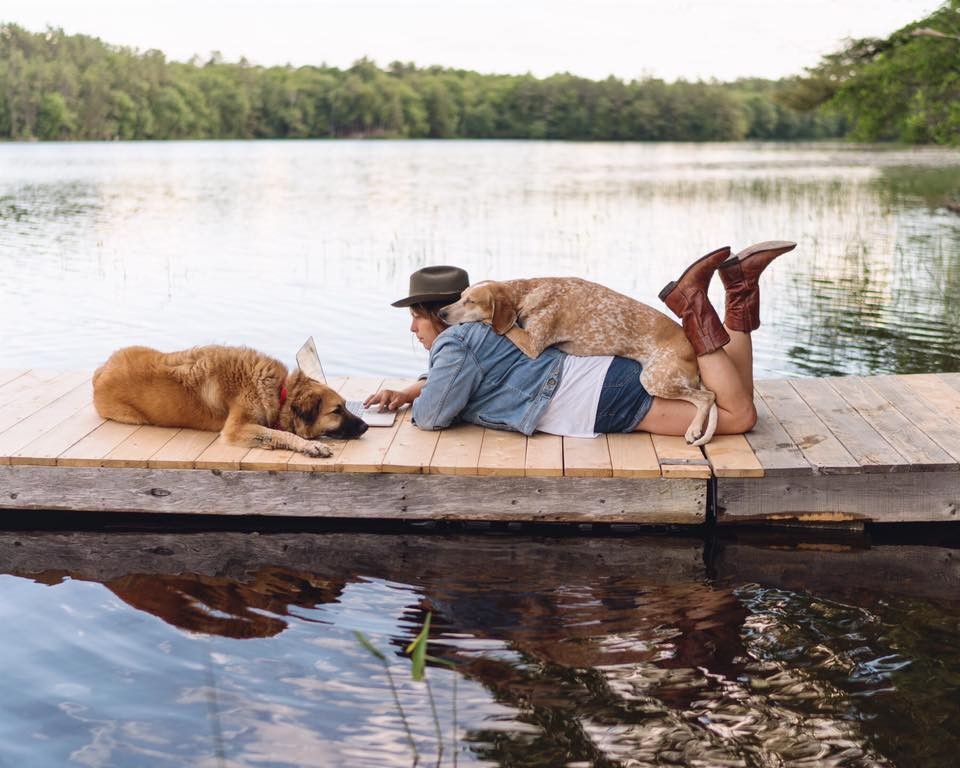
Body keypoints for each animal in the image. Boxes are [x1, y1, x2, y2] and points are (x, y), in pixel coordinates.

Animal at [93, 344, 368, 456]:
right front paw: (311, 446)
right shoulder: (235, 429)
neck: (281, 393)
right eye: (337, 410)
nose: (366, 426)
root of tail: (101, 371)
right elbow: (280, 433)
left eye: (345, 406)